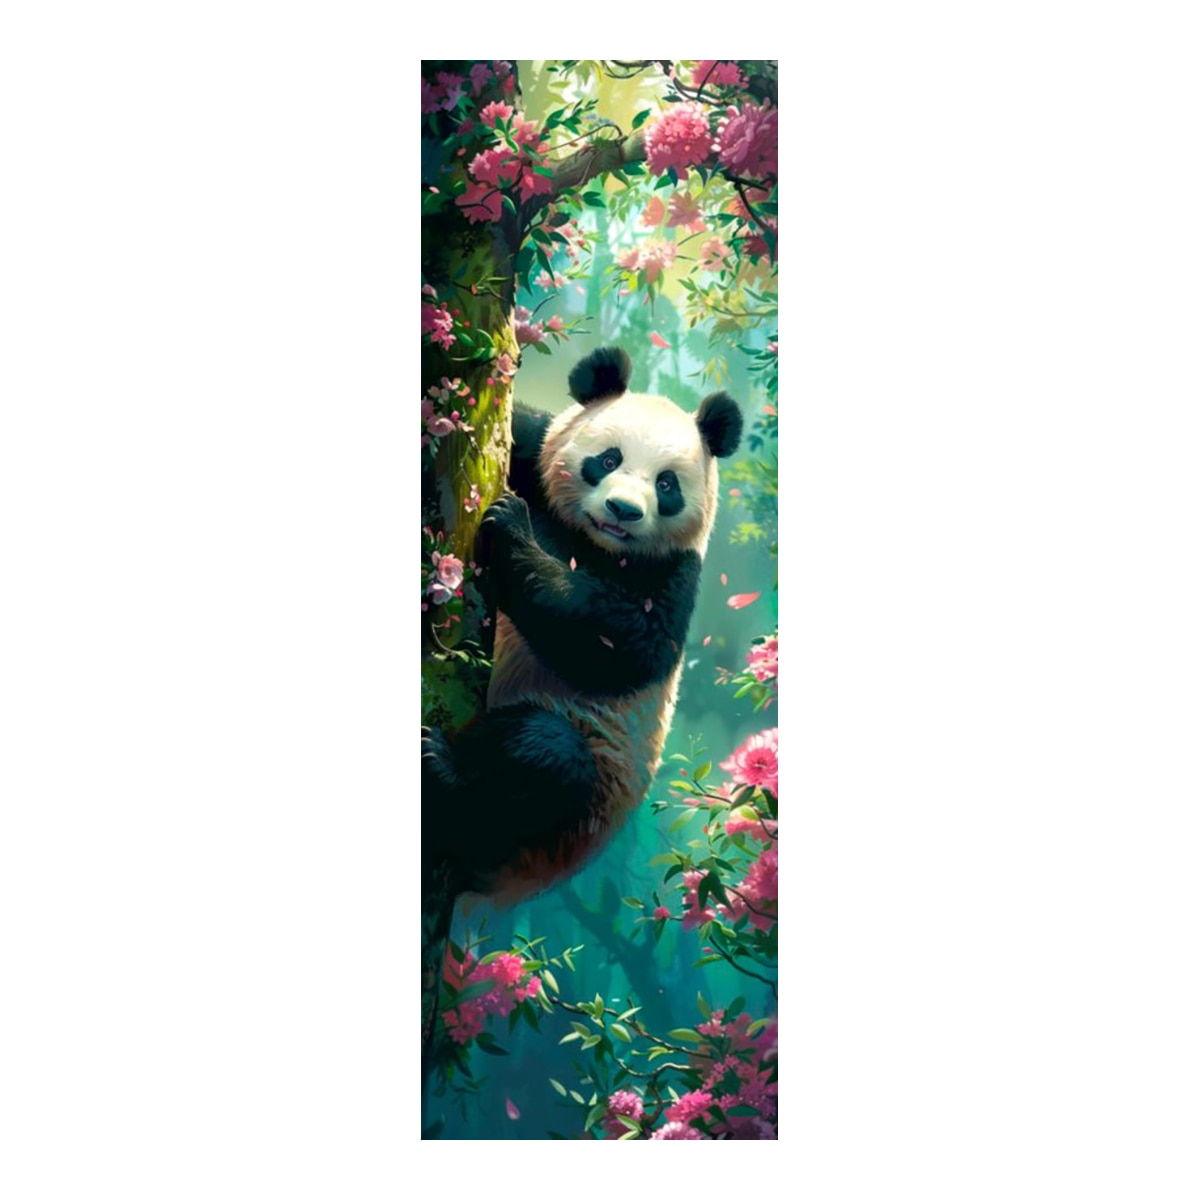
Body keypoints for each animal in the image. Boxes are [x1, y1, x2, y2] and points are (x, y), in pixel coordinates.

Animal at [422, 345, 742, 906]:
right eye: (608, 459)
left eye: (666, 484)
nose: (623, 510)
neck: (592, 541)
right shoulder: (532, 454)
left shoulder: (674, 574)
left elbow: (620, 646)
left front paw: (511, 529)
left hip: (580, 802)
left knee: (545, 760)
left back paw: (444, 771)